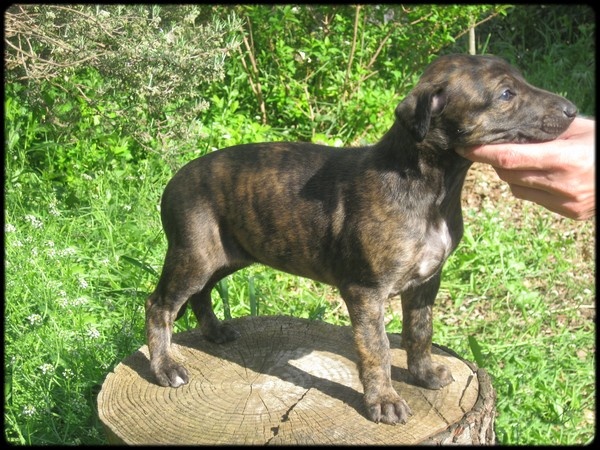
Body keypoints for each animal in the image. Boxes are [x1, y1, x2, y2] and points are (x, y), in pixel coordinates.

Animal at [145, 54, 576, 425]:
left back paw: (215, 333)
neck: (430, 185)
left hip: (227, 255)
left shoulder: (425, 282)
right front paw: (384, 401)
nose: (572, 111)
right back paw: (165, 367)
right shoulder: (366, 291)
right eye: (506, 94)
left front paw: (423, 375)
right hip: (195, 255)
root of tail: (172, 182)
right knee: (159, 305)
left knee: (200, 293)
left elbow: (420, 332)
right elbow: (377, 350)